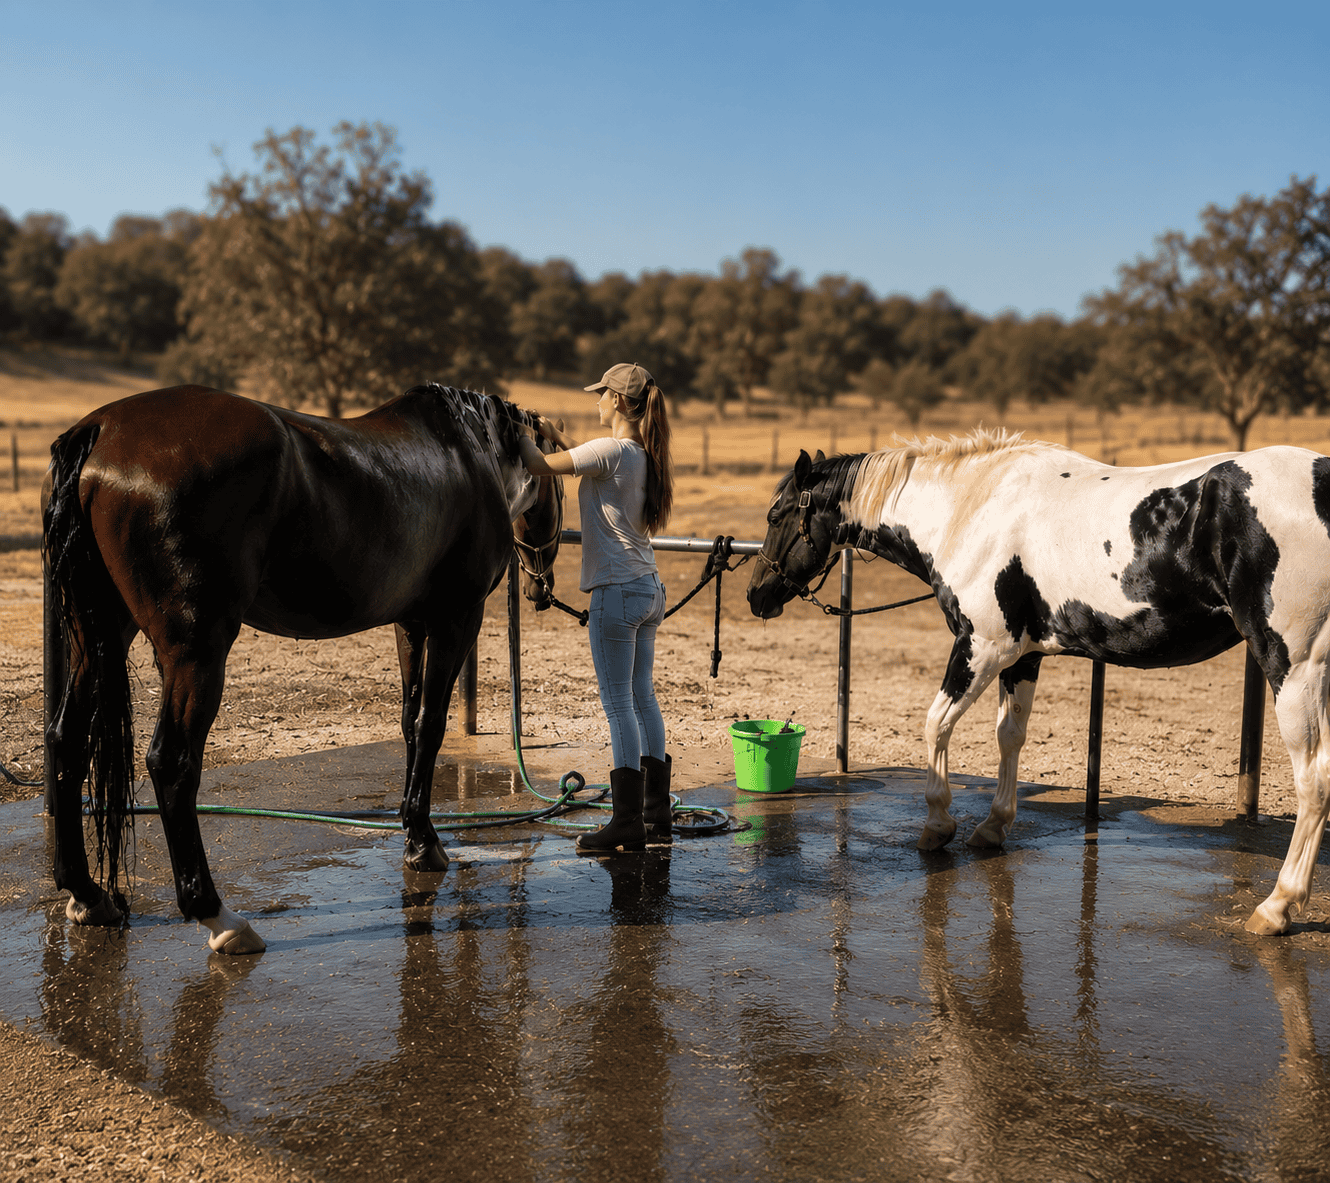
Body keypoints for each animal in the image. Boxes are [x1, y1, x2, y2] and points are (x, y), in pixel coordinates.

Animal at [42, 382, 562, 955]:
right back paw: (219, 917)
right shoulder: (456, 619)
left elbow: (409, 724)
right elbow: (430, 726)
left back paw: (88, 894)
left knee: (67, 737)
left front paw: (413, 832)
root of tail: (102, 431)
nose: (540, 587)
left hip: (101, 633)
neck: (471, 451)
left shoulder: (411, 623)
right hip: (195, 649)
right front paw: (426, 845)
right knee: (171, 761)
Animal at [748, 428, 1330, 937]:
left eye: (777, 514)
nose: (757, 596)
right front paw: (992, 827)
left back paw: (1276, 907)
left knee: (1314, 781)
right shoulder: (1021, 657)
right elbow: (1010, 737)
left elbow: (936, 725)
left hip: (1293, 667)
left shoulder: (982, 647)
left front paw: (938, 826)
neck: (971, 508)